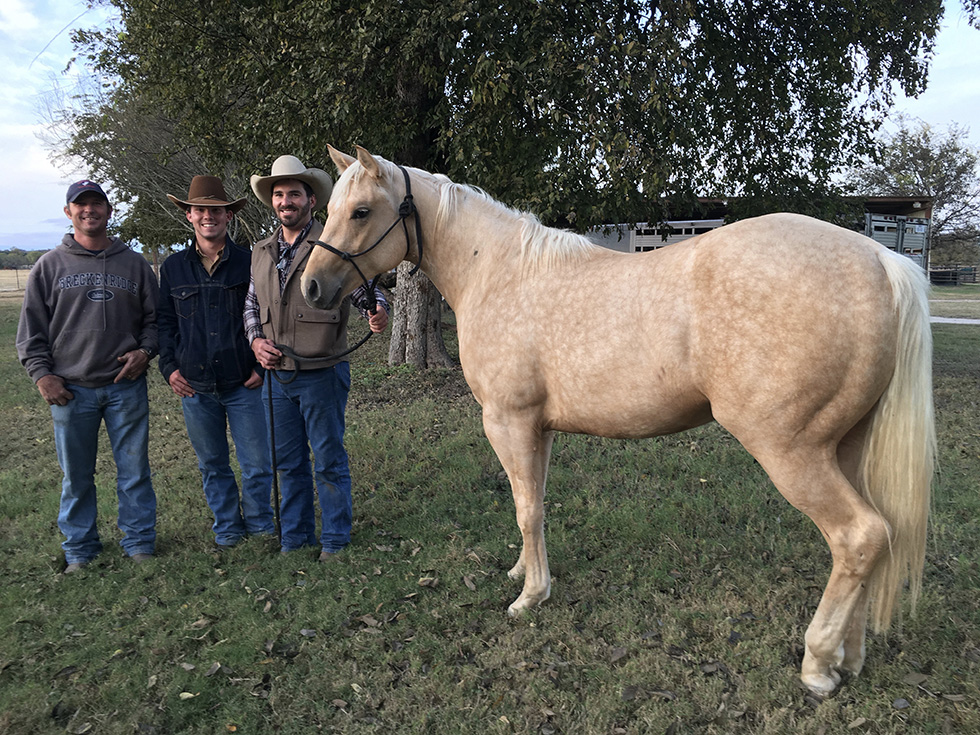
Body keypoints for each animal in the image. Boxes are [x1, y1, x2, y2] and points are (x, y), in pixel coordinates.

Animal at [304, 145, 936, 696]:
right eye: (330, 209)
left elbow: (526, 508)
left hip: (790, 450)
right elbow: (532, 503)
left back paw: (818, 665)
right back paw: (849, 658)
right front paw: (522, 573)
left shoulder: (508, 422)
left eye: (361, 211)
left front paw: (530, 597)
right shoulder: (538, 429)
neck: (500, 272)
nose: (312, 287)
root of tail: (880, 260)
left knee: (859, 536)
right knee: (875, 539)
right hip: (843, 448)